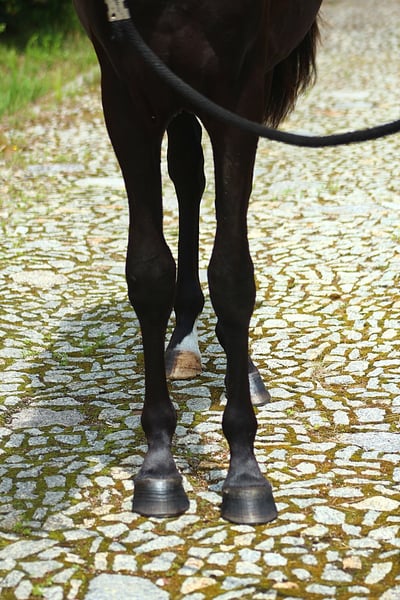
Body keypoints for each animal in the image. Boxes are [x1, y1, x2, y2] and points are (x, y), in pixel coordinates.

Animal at [73, 0, 322, 524]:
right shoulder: (126, 99)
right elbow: (149, 271)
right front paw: (159, 466)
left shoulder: (239, 97)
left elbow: (232, 274)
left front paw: (245, 474)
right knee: (188, 174)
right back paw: (183, 338)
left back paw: (244, 370)